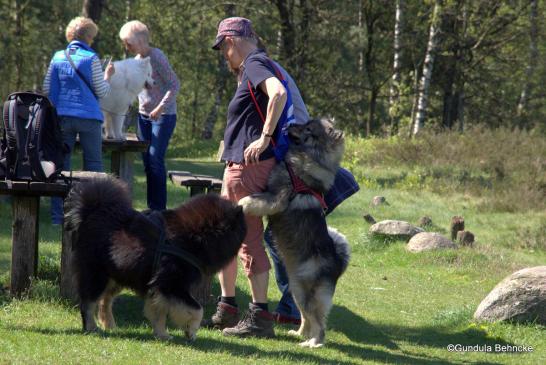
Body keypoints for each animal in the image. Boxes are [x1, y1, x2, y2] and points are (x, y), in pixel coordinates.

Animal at [63, 175, 244, 340]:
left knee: (105, 300)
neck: (195, 236)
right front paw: (190, 331)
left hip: (119, 275)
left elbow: (159, 313)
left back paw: (109, 324)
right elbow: (197, 309)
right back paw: (91, 327)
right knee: (88, 302)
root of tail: (92, 211)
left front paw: (162, 335)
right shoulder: (171, 284)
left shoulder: (160, 288)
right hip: (97, 274)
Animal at [239, 117, 350, 346]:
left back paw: (313, 343)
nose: (289, 125)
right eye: (306, 122)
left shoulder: (276, 198)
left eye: (308, 129)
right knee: (306, 318)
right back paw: (298, 334)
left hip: (308, 295)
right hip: (298, 291)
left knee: (319, 323)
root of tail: (338, 263)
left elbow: (252, 200)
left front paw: (240, 203)